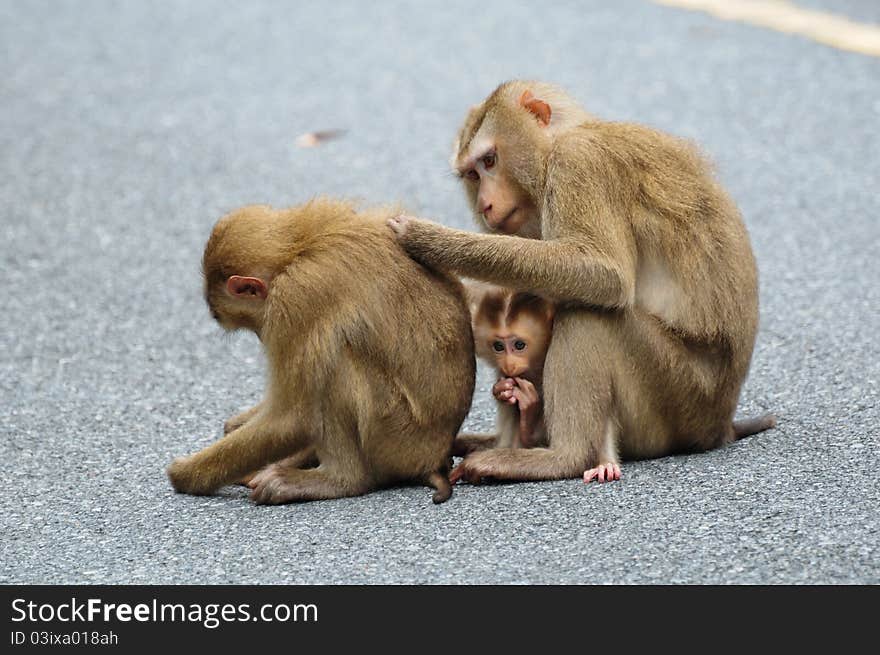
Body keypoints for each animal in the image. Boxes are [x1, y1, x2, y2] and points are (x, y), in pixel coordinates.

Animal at [169, 202, 478, 504]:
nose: (262, 335)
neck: (298, 250)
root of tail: (434, 457)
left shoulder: (296, 298)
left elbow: (292, 417)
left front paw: (185, 474)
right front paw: (237, 423)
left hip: (397, 438)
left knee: (337, 360)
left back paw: (339, 479)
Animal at [388, 79, 772, 484]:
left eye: (490, 161)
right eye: (473, 176)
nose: (485, 206)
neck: (556, 144)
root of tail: (719, 425)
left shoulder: (578, 163)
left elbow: (604, 273)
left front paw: (429, 239)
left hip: (679, 394)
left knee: (589, 315)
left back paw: (561, 457)